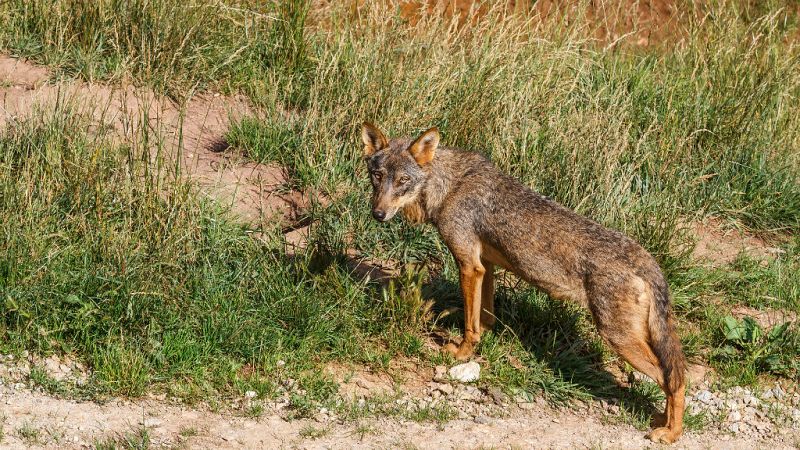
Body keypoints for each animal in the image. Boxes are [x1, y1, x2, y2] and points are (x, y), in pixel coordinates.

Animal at [360, 122, 687, 443]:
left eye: (403, 180)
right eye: (377, 176)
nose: (378, 214)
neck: (450, 186)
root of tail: (648, 262)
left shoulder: (469, 266)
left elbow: (470, 325)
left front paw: (462, 353)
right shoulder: (485, 266)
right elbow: (484, 317)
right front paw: (482, 341)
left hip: (617, 337)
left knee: (673, 378)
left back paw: (670, 433)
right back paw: (663, 421)